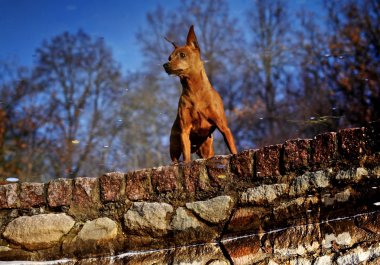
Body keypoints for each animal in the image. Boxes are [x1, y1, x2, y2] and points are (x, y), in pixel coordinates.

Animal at [163, 25, 238, 161]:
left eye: (182, 55)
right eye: (169, 58)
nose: (165, 65)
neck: (195, 91)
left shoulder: (224, 128)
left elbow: (232, 148)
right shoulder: (184, 131)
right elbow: (186, 158)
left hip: (207, 148)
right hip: (174, 146)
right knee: (176, 159)